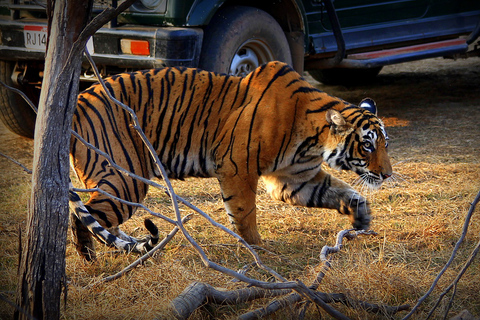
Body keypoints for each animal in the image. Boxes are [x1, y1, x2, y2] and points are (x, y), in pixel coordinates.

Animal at [69, 60, 392, 260]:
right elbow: (244, 212)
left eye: (385, 144)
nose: (387, 174)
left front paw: (362, 217)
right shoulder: (238, 167)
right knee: (83, 215)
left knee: (101, 219)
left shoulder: (295, 180)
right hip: (126, 178)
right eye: (367, 145)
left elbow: (340, 192)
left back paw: (125, 249)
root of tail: (79, 100)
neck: (313, 141)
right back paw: (90, 259)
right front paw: (258, 249)